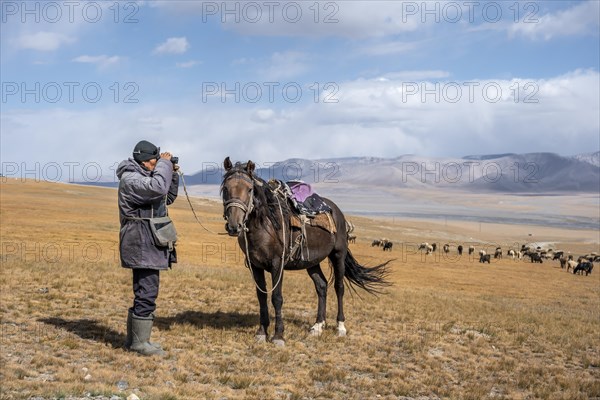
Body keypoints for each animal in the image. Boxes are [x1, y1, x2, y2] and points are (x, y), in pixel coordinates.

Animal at [220, 158, 394, 346]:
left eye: (249, 189)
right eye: (226, 188)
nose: (234, 226)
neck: (265, 224)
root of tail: (338, 212)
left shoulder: (277, 264)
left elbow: (276, 297)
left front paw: (278, 335)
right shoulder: (255, 265)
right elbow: (261, 296)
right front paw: (261, 332)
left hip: (338, 254)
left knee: (339, 287)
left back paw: (340, 327)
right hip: (312, 261)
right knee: (322, 286)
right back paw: (317, 326)